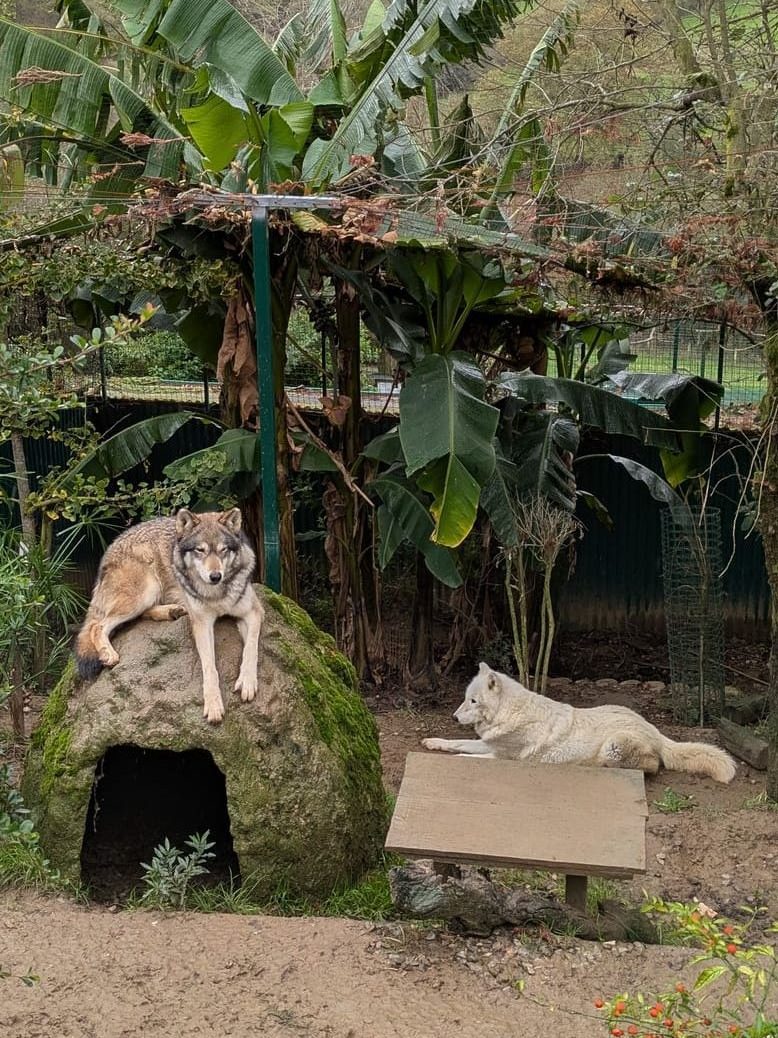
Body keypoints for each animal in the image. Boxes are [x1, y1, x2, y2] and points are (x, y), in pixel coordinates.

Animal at [75, 508, 264, 725]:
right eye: (200, 550)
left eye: (223, 550)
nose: (215, 576)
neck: (217, 595)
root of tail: (110, 549)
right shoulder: (202, 624)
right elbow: (210, 668)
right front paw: (214, 705)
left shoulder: (254, 612)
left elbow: (251, 648)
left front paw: (248, 682)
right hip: (145, 591)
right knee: (97, 626)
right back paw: (109, 654)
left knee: (139, 614)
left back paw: (173, 611)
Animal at [422, 663, 736, 783]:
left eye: (473, 701)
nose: (454, 716)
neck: (510, 712)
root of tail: (654, 730)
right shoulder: (488, 744)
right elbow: (456, 743)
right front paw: (433, 743)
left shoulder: (503, 757)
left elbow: (465, 756)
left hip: (613, 746)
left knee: (652, 766)